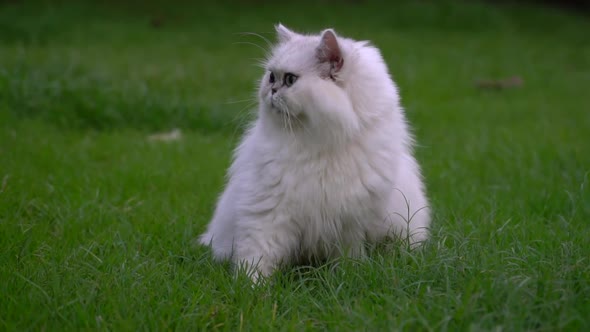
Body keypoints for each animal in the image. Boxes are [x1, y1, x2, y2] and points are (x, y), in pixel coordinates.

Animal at [201, 24, 432, 282]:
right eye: (271, 76)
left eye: (290, 79)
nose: (271, 90)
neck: (319, 146)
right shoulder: (268, 211)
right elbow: (258, 255)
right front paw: (250, 285)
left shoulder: (350, 223)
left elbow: (348, 259)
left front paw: (347, 278)